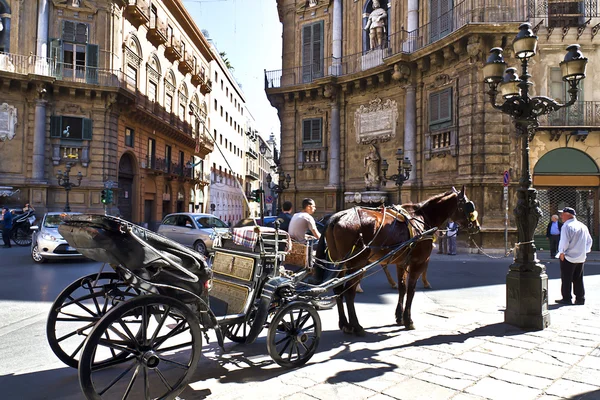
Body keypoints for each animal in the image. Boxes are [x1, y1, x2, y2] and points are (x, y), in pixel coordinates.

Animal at [316, 187, 480, 334]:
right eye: (469, 206)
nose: (477, 226)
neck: (422, 219)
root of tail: (337, 217)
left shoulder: (401, 263)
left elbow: (402, 288)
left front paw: (399, 317)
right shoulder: (418, 262)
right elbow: (411, 290)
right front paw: (408, 320)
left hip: (340, 264)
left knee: (338, 290)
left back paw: (344, 324)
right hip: (357, 264)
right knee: (349, 293)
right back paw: (356, 326)